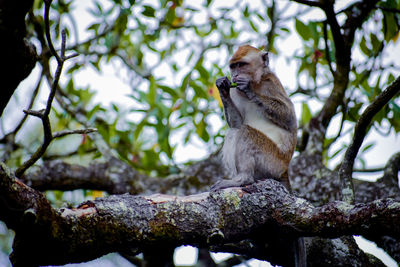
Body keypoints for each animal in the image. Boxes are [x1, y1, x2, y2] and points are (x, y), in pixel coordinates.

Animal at [212, 45, 296, 192]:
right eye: (233, 66)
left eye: (241, 65)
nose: (235, 75)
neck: (257, 82)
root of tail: (285, 170)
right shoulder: (234, 91)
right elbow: (236, 123)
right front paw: (222, 87)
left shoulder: (272, 82)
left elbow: (290, 118)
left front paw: (248, 88)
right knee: (235, 130)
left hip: (273, 163)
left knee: (246, 132)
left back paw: (243, 179)